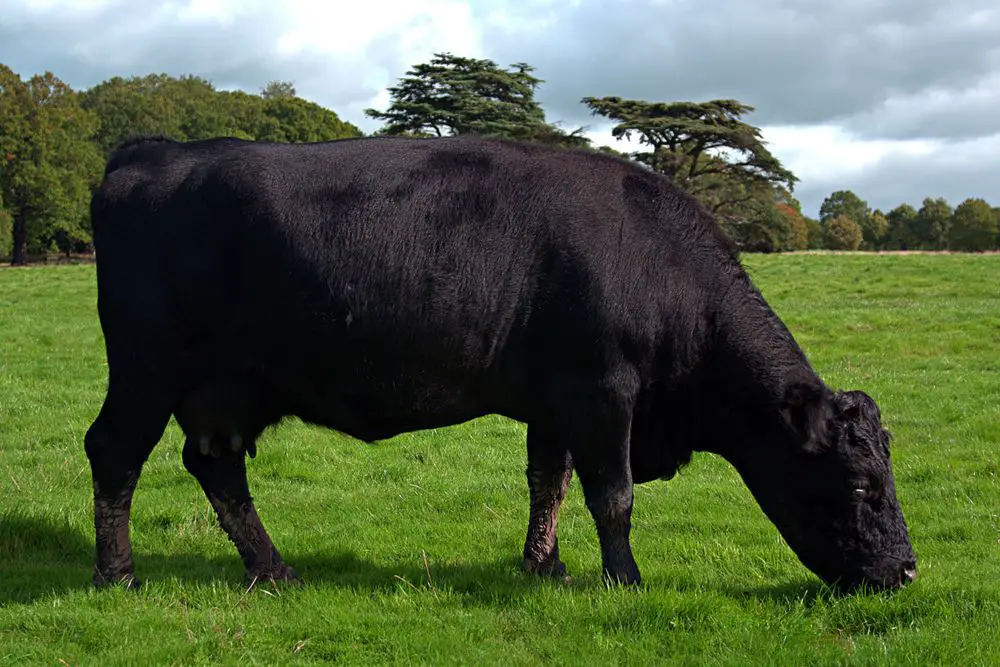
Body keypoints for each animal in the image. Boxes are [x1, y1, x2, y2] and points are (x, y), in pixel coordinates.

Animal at [84, 133, 916, 592]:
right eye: (862, 484)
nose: (908, 570)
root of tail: (154, 152)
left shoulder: (555, 402)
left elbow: (550, 483)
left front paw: (544, 566)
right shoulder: (602, 391)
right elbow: (613, 495)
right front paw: (625, 578)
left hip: (223, 392)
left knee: (216, 466)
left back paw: (272, 568)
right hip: (144, 371)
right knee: (114, 452)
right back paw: (118, 572)